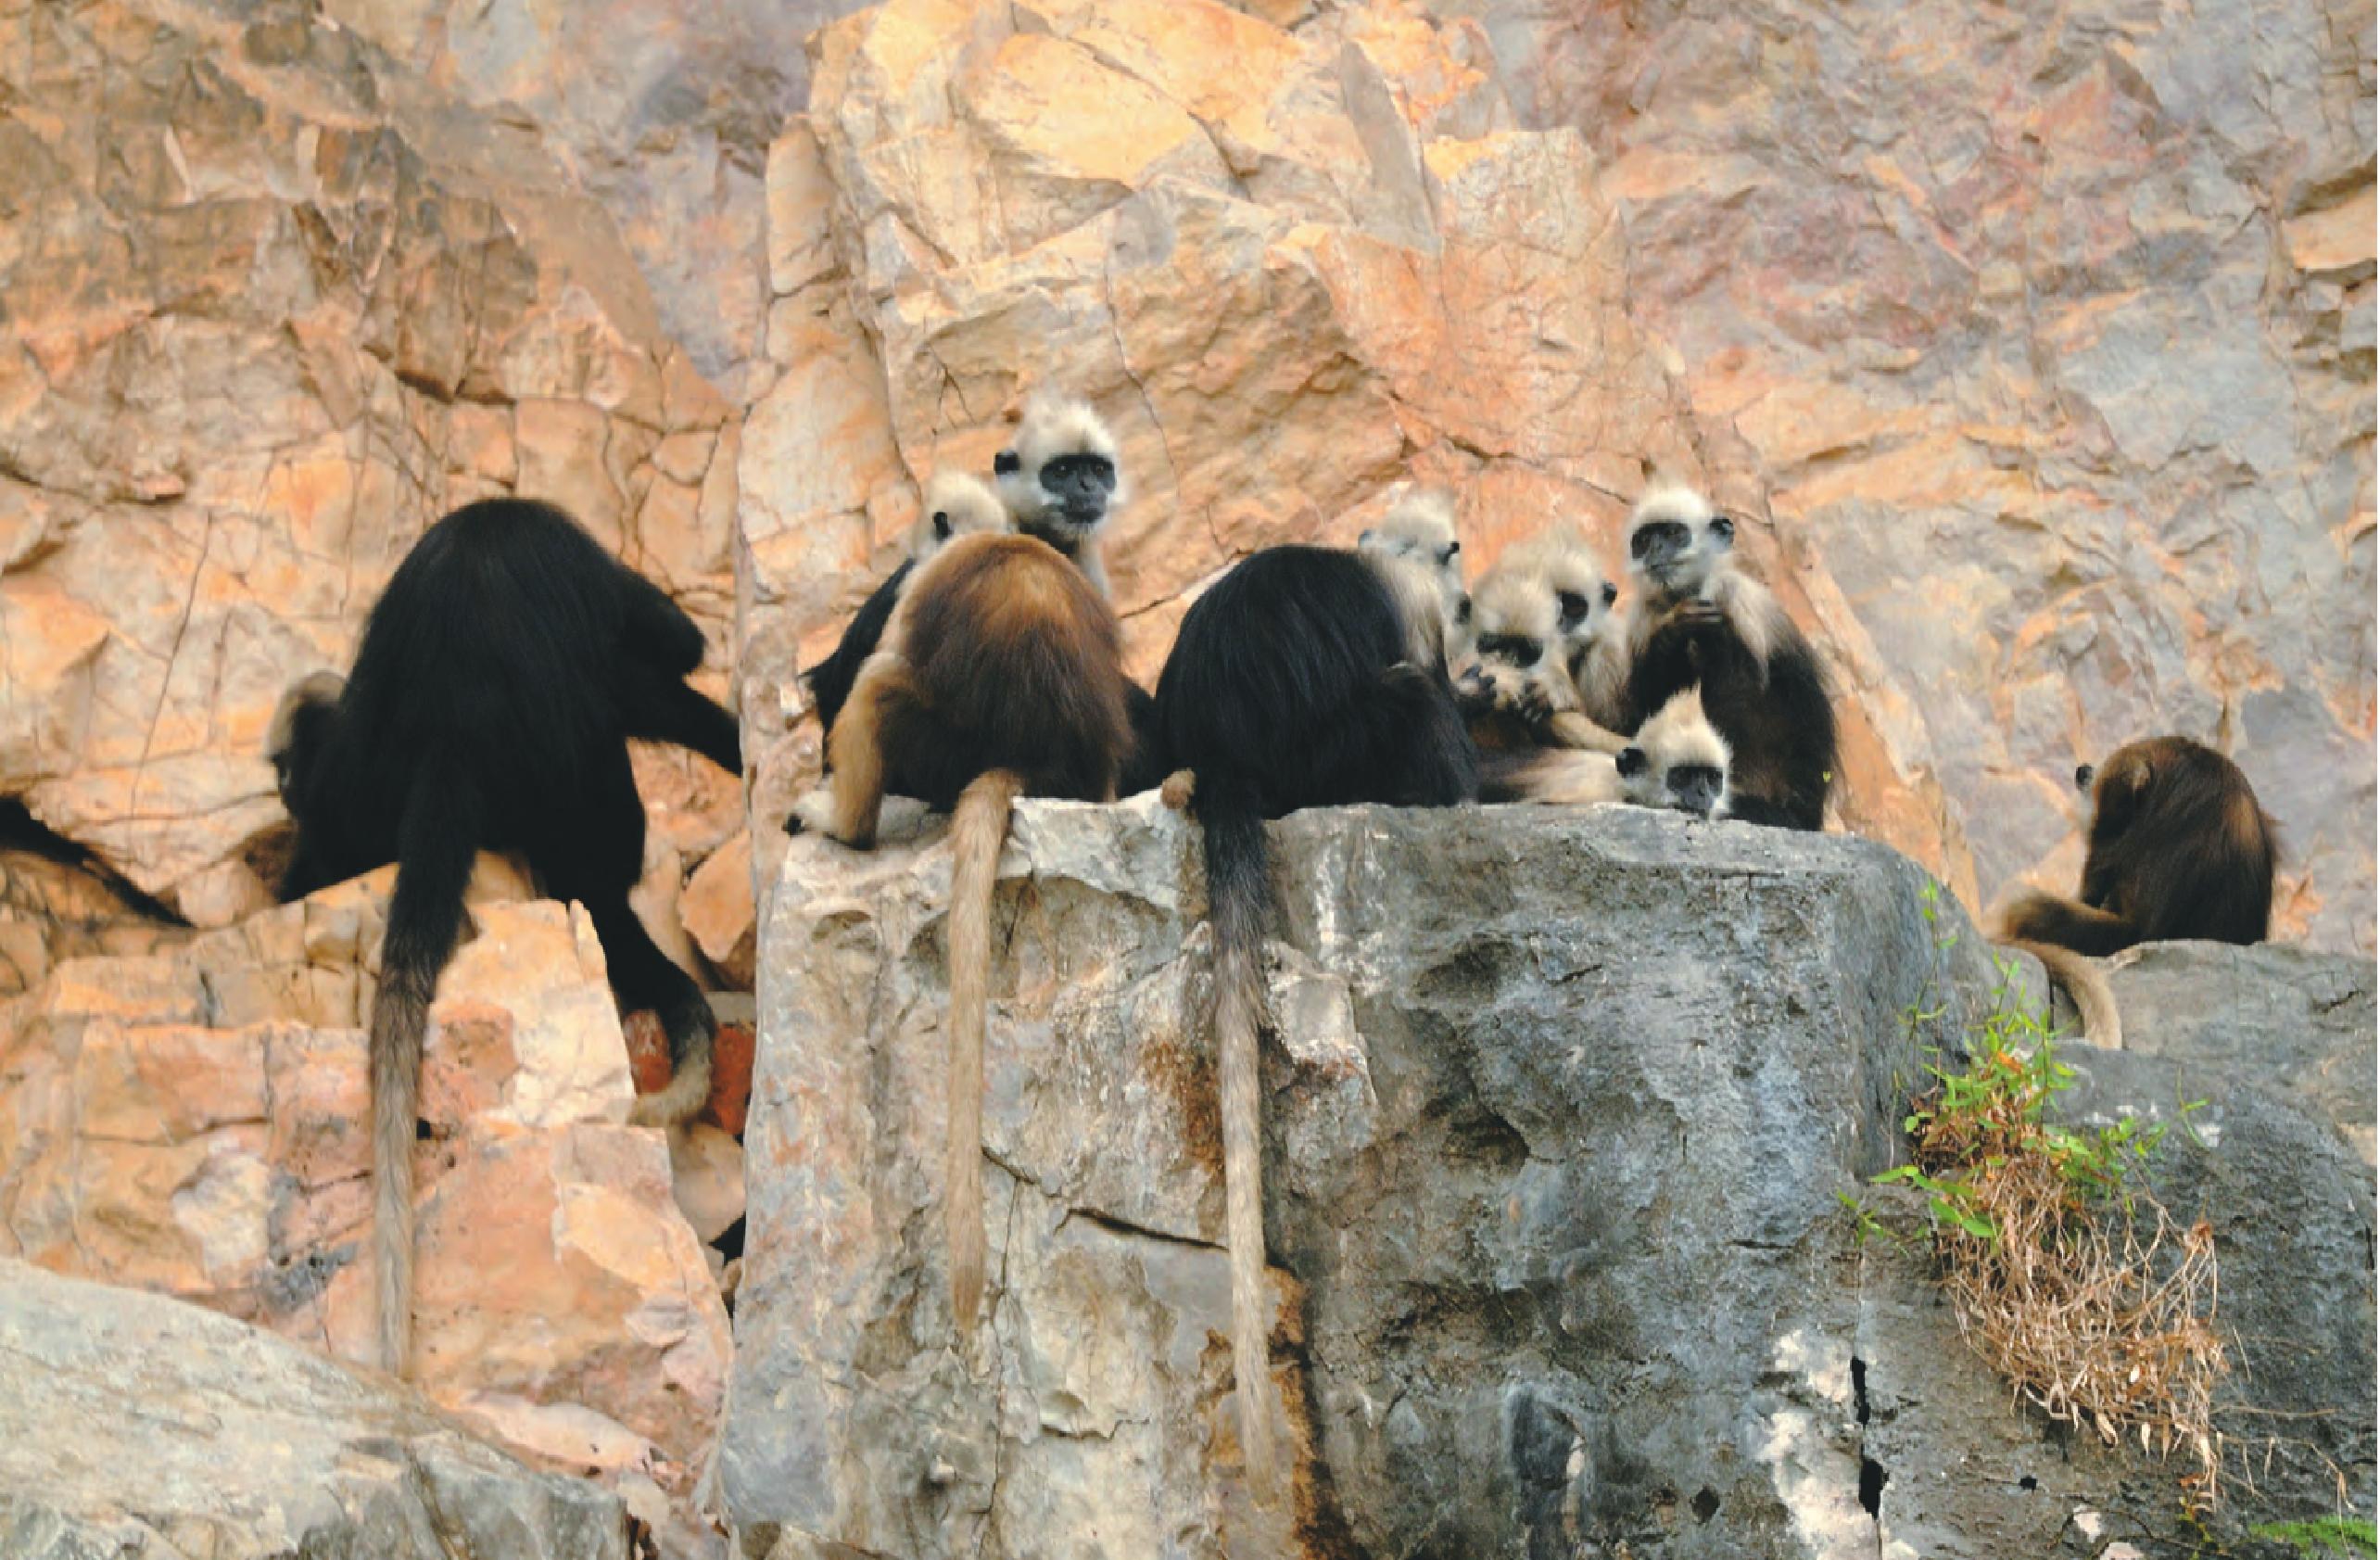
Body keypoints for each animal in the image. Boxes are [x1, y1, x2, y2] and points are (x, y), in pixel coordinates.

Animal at [1608, 486, 1828, 829]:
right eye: (1643, 541)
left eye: (1673, 534)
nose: (1655, 550)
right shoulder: (1645, 617)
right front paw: (1675, 629)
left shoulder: (1730, 595)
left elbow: (1741, 691)